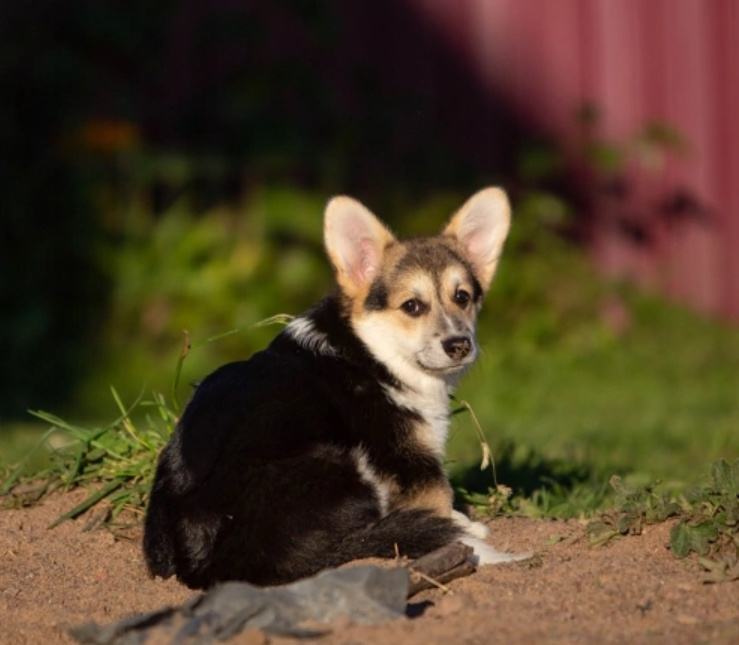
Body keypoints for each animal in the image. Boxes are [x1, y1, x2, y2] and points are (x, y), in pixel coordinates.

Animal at [145, 186, 524, 588]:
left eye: (462, 297)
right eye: (411, 306)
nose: (460, 345)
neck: (370, 350)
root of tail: (215, 563)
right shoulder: (407, 459)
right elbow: (437, 494)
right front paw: (457, 522)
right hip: (347, 462)